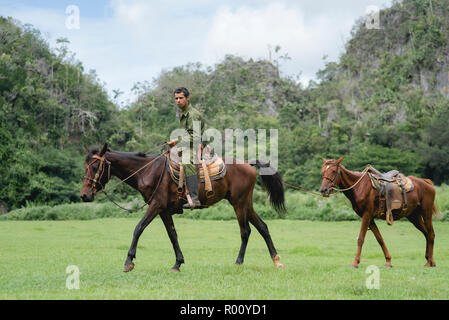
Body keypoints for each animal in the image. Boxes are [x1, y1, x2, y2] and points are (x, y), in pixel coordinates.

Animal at [79, 144, 286, 272]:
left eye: (95, 166)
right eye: (85, 165)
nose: (84, 195)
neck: (148, 170)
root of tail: (248, 165)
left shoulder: (156, 205)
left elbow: (138, 228)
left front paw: (129, 261)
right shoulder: (163, 210)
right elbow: (172, 235)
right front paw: (178, 263)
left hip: (239, 203)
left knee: (246, 231)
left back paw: (239, 261)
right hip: (246, 204)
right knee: (263, 227)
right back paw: (276, 260)